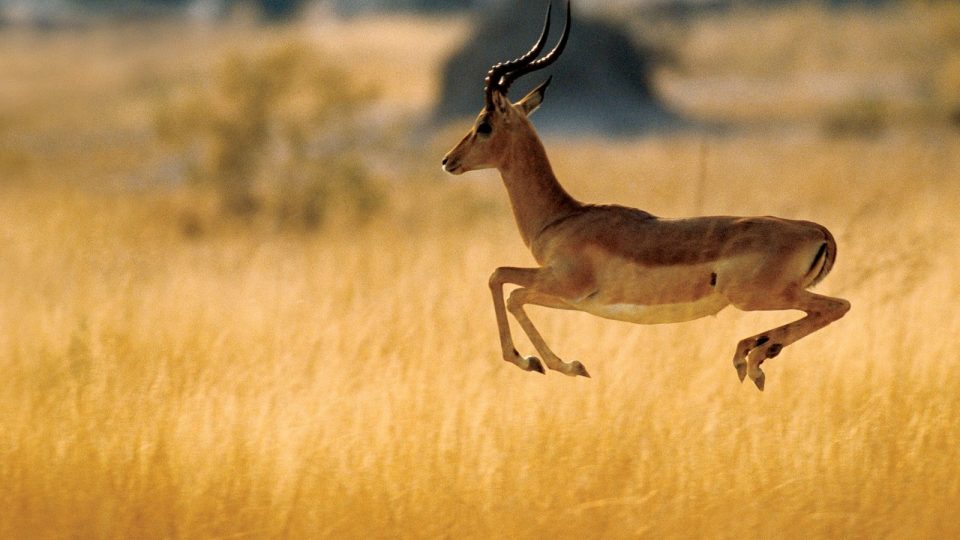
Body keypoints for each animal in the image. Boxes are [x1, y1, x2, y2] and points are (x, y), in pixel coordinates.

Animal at [441, 2, 850, 390]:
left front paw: (546, 363)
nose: (448, 161)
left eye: (484, 124)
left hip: (759, 296)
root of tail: (818, 231)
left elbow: (502, 282)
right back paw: (751, 355)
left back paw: (752, 358)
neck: (562, 218)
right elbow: (507, 287)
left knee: (837, 306)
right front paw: (556, 364)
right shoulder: (575, 301)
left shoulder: (564, 284)